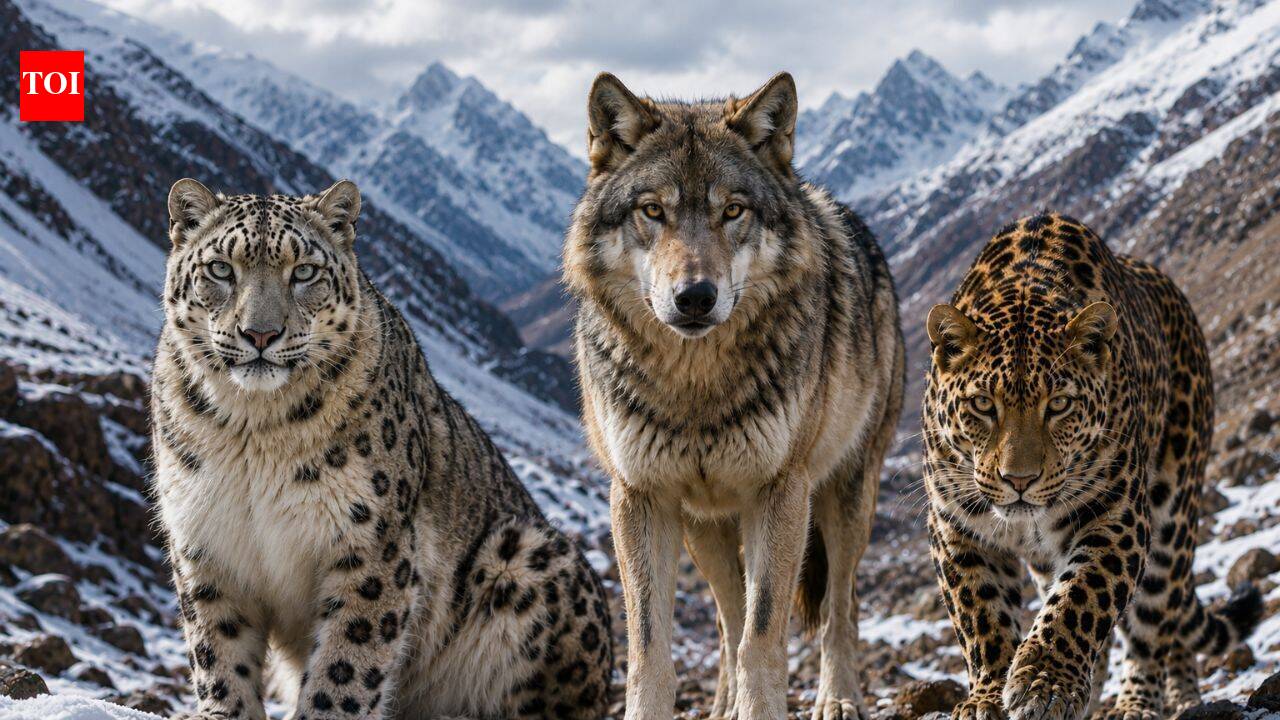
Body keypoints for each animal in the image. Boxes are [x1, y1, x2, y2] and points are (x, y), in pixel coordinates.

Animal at [564, 72, 905, 720]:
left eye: (733, 211)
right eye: (653, 211)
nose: (695, 297)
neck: (696, 386)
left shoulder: (781, 490)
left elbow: (763, 637)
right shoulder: (640, 496)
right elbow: (653, 649)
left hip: (846, 498)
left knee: (839, 608)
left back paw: (838, 698)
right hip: (705, 527)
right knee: (726, 618)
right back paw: (723, 705)